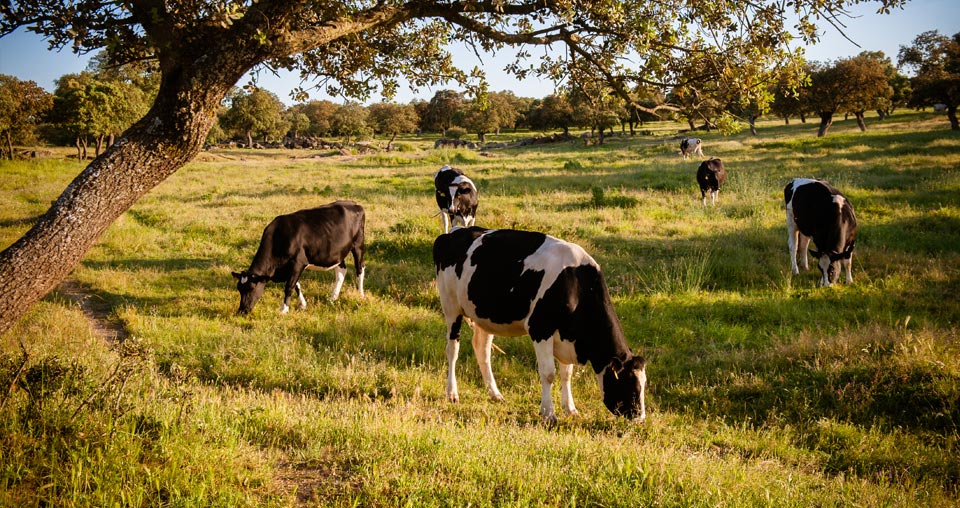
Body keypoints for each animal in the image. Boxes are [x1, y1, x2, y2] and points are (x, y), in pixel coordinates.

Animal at [232, 200, 366, 314]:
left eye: (251, 288)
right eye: (239, 289)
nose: (242, 311)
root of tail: (354, 204)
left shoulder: (298, 262)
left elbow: (289, 286)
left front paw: (284, 309)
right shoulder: (291, 267)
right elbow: (296, 285)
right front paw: (303, 305)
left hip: (358, 245)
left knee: (360, 268)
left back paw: (361, 295)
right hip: (337, 252)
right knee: (341, 271)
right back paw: (333, 297)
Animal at [433, 227, 647, 423]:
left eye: (643, 385)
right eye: (631, 386)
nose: (640, 419)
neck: (576, 284)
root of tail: (454, 232)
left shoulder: (567, 334)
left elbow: (567, 374)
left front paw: (570, 409)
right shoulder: (540, 329)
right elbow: (549, 373)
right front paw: (548, 414)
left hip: (484, 317)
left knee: (482, 350)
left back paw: (495, 394)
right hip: (451, 307)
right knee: (453, 350)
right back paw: (452, 393)